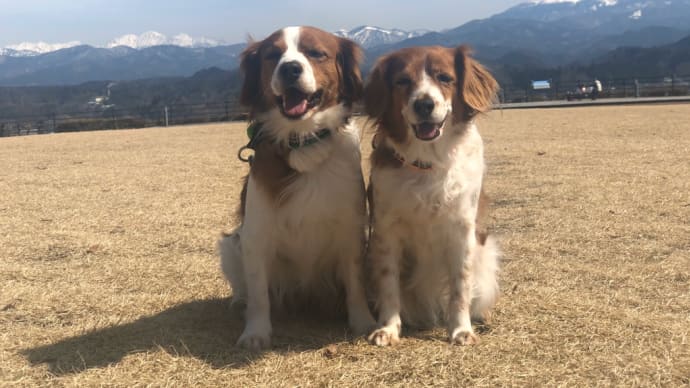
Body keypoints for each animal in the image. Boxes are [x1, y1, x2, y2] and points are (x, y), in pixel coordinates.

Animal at [218, 25, 374, 350]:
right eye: (272, 55)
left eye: (315, 53)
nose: (289, 68)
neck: (302, 139)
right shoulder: (255, 235)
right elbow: (259, 295)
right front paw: (255, 332)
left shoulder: (350, 229)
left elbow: (355, 283)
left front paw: (363, 322)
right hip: (230, 244)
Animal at [366, 44, 500, 346]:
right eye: (402, 81)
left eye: (445, 78)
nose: (424, 104)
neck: (427, 162)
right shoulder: (385, 231)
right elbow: (388, 283)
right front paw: (388, 328)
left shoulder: (462, 229)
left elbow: (461, 285)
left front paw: (461, 330)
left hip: (486, 252)